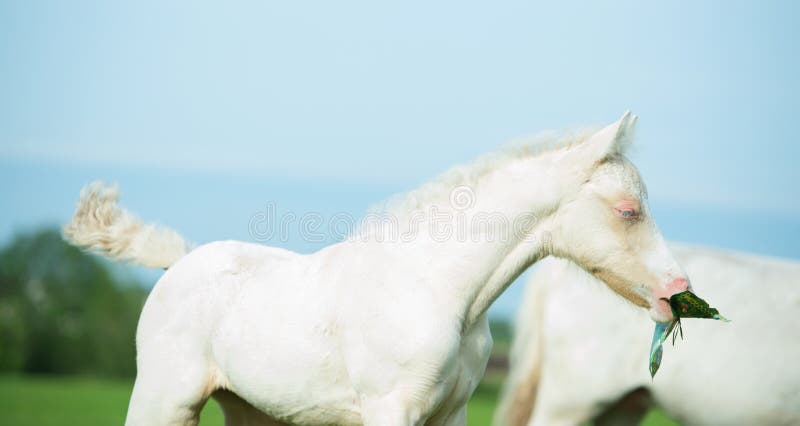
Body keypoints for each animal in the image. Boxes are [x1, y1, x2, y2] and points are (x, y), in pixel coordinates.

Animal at [62, 112, 692, 426]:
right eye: (628, 210)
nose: (678, 291)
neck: (441, 290)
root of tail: (181, 262)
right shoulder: (391, 411)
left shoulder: (451, 416)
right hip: (164, 399)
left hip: (251, 411)